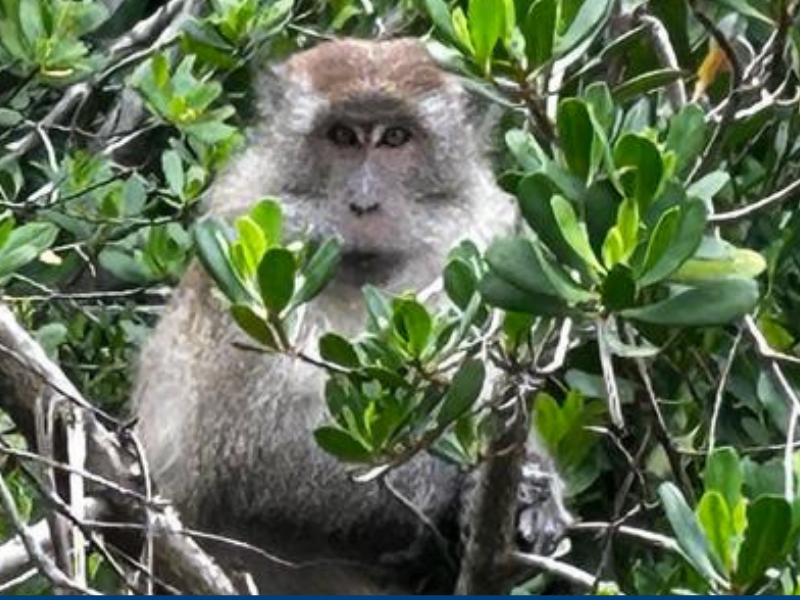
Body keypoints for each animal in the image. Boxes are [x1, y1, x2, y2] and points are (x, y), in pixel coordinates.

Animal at [133, 38, 568, 594]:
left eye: (395, 138)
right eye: (341, 136)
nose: (363, 203)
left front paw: (535, 488)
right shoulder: (242, 267)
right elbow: (257, 458)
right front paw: (463, 493)